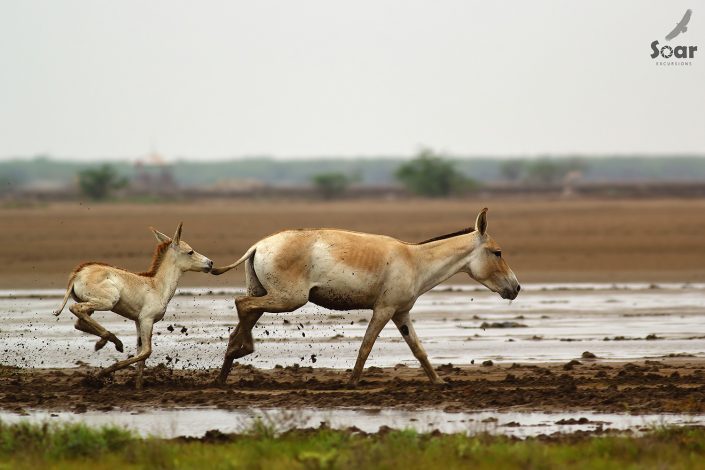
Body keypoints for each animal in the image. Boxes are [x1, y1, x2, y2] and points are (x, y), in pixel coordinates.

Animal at [54, 224, 212, 390]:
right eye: (190, 251)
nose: (211, 263)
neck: (157, 286)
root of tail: (78, 273)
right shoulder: (146, 320)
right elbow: (146, 352)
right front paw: (103, 373)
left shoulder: (138, 322)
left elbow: (140, 357)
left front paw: (138, 387)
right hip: (108, 302)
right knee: (75, 309)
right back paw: (112, 342)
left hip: (94, 305)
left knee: (78, 322)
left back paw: (106, 342)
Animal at [209, 207, 516, 384]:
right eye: (498, 252)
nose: (516, 288)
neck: (415, 261)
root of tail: (258, 245)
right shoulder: (384, 309)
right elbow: (366, 346)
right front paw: (352, 383)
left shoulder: (401, 313)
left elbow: (418, 350)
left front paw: (439, 383)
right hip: (288, 299)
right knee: (242, 304)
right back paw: (240, 352)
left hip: (268, 293)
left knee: (245, 312)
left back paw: (225, 372)